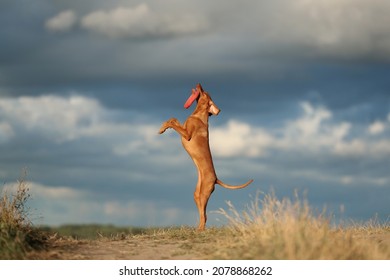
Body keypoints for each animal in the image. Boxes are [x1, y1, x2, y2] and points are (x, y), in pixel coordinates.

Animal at [158, 82, 253, 230]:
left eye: (205, 92)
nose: (199, 83)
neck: (198, 115)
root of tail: (216, 179)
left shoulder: (186, 134)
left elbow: (173, 122)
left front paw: (164, 127)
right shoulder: (184, 127)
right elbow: (173, 119)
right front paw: (163, 127)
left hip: (204, 194)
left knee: (204, 215)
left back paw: (200, 229)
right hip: (197, 194)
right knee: (204, 214)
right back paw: (198, 227)